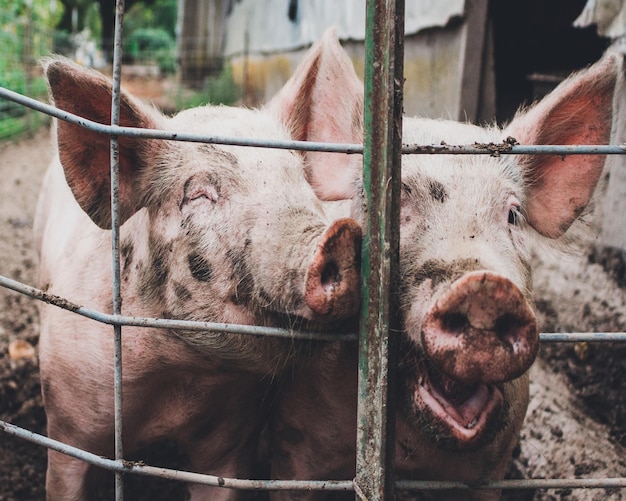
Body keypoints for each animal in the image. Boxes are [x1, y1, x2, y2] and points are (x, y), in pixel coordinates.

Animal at [34, 52, 360, 498]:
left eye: (302, 184)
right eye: (198, 194)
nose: (341, 234)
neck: (176, 377)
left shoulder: (230, 444)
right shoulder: (67, 424)